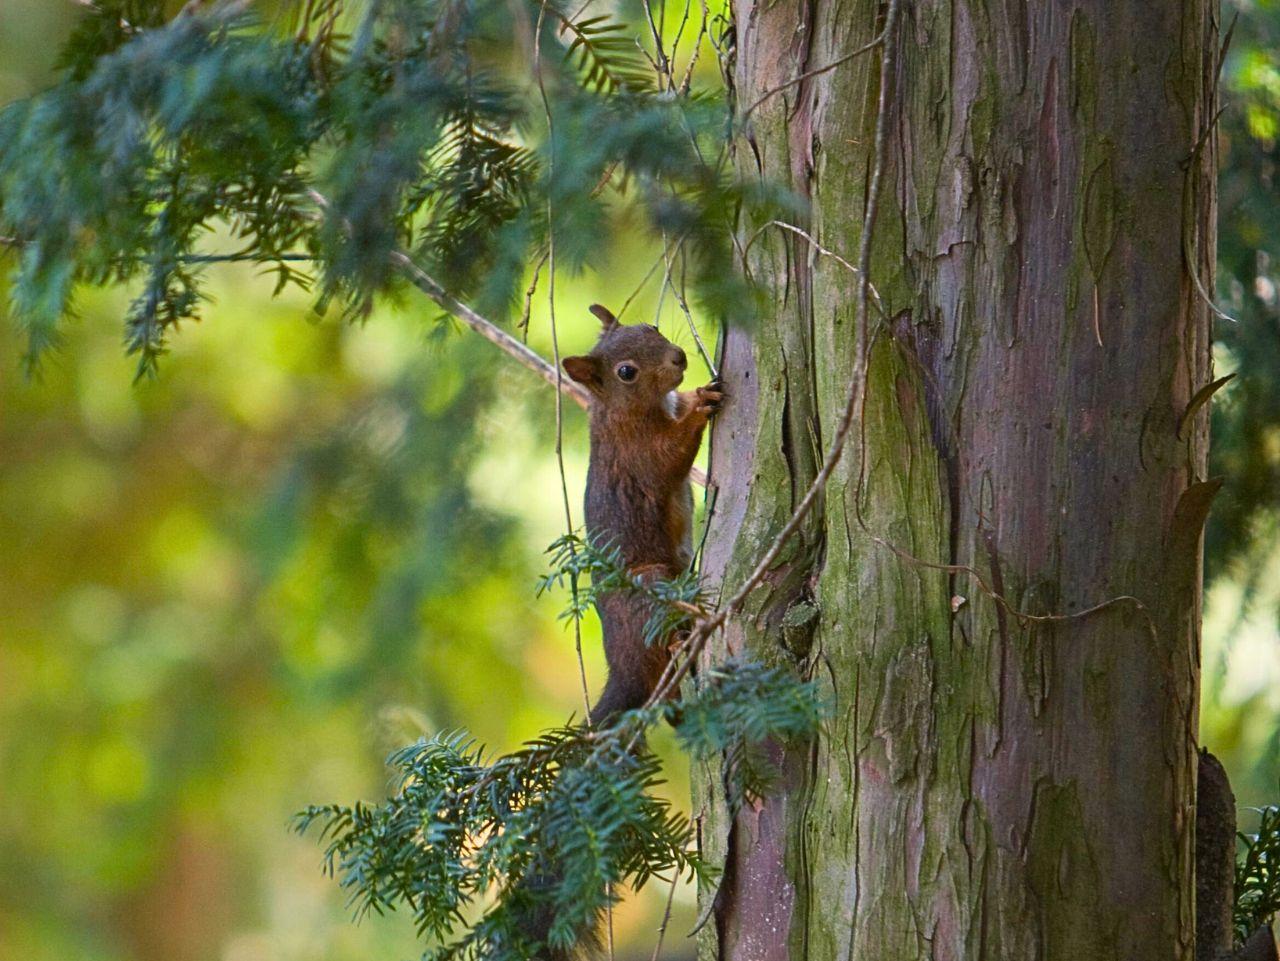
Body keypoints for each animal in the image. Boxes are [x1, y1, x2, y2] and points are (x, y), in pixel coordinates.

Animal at [565, 304, 727, 726]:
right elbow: (669, 457)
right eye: (626, 372)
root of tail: (624, 673)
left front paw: (696, 391)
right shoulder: (637, 454)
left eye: (649, 327)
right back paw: (679, 643)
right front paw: (702, 404)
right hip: (652, 586)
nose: (679, 357)